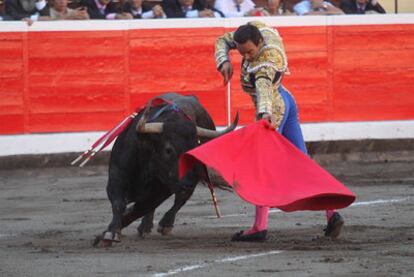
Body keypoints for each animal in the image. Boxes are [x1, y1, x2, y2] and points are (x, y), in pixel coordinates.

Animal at [98, 92, 238, 244]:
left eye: (193, 150)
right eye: (168, 150)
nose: (188, 183)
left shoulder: (161, 190)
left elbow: (141, 208)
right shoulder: (116, 175)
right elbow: (119, 204)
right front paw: (111, 232)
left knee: (180, 199)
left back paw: (164, 224)